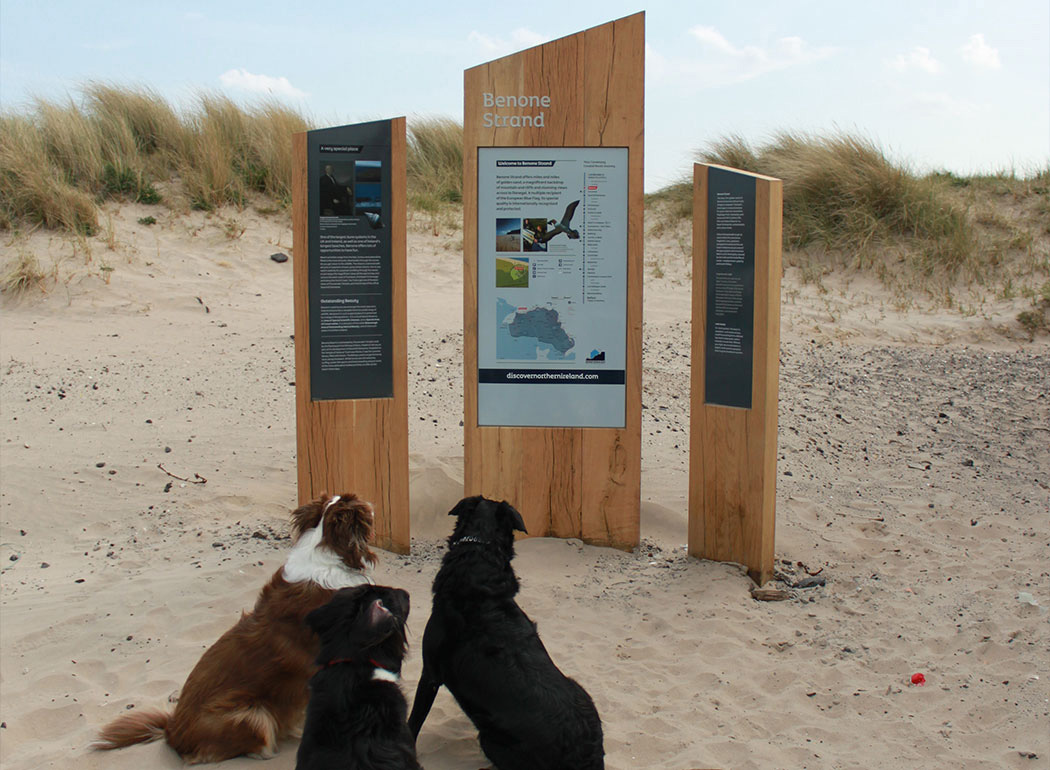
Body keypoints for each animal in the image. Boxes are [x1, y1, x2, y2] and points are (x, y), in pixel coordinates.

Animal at [409, 495, 609, 764]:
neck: (480, 552)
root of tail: (586, 753)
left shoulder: (430, 672)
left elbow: (412, 723)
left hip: (490, 740)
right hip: (581, 691)